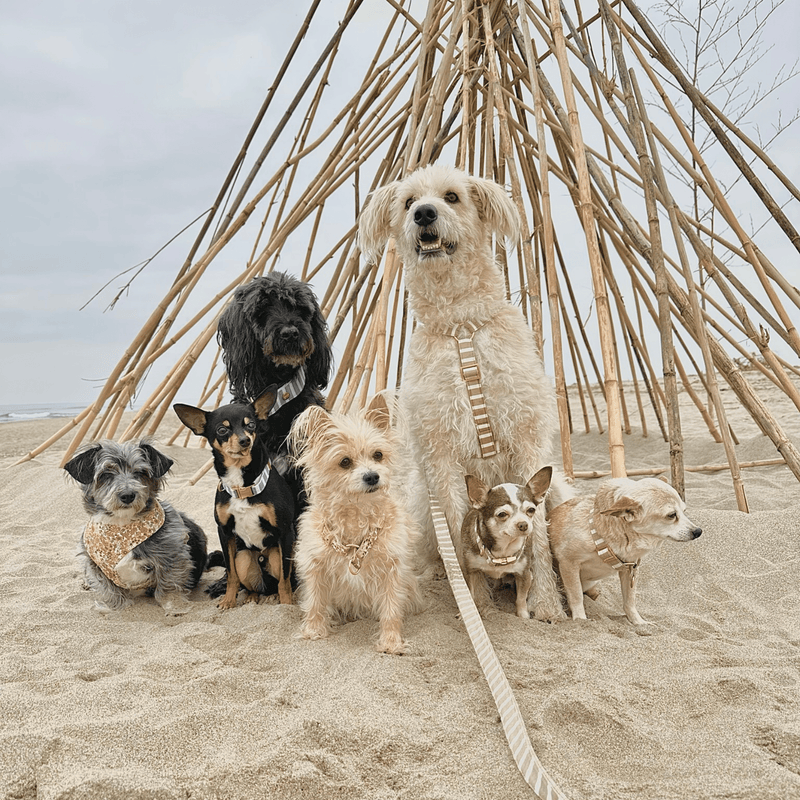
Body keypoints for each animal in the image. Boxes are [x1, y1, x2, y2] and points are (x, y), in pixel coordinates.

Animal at [290, 396, 424, 656]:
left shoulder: (393, 570)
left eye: (378, 455)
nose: (372, 476)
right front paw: (313, 631)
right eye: (344, 462)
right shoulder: (315, 566)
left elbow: (391, 610)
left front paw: (391, 642)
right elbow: (315, 601)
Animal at [360, 164, 564, 624]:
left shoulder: (528, 436)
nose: (424, 214)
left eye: (452, 196)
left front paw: (545, 602)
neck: (461, 329)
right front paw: (476, 601)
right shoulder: (440, 453)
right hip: (421, 499)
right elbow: (458, 529)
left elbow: (539, 536)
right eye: (408, 202)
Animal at [552, 476, 700, 624]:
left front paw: (638, 622)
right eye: (671, 515)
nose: (698, 531)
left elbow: (629, 601)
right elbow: (576, 595)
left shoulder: (629, 570)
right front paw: (580, 619)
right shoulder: (568, 563)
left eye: (684, 511)